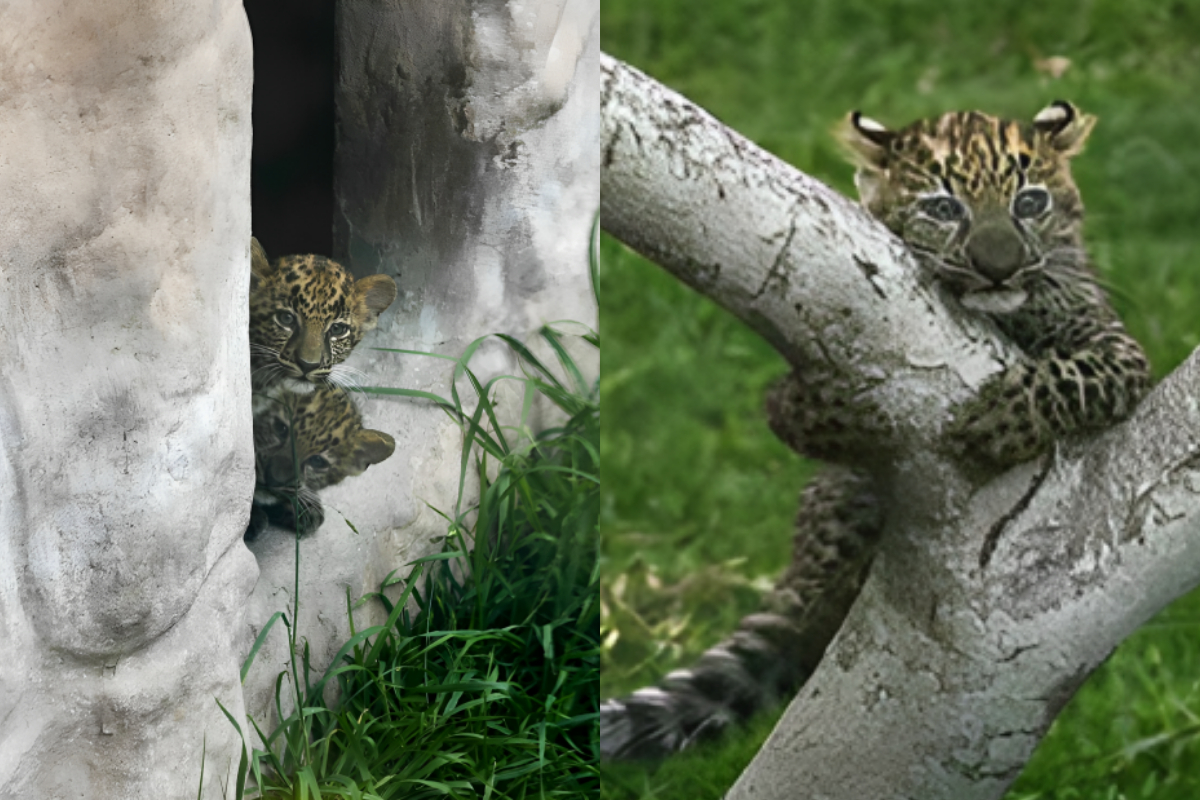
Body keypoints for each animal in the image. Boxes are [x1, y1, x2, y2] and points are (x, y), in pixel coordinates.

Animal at [599, 101, 1151, 760]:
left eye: (1030, 202)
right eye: (944, 208)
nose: (999, 268)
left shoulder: (1115, 348)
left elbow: (1073, 374)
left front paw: (993, 421)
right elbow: (784, 408)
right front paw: (831, 408)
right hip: (840, 502)